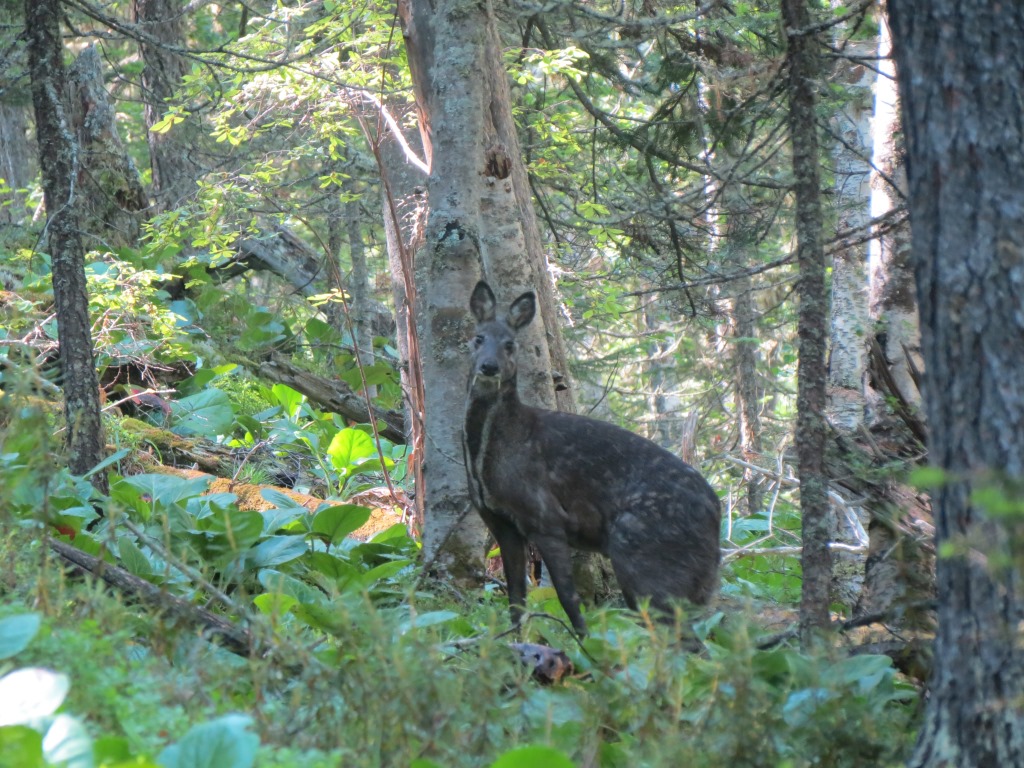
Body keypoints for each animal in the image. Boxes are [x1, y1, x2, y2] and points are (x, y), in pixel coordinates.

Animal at [464, 282, 720, 638]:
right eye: (478, 338)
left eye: (510, 344)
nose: (489, 367)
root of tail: (717, 515)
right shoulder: (500, 523)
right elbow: (516, 599)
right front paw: (515, 645)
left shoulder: (546, 517)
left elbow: (568, 598)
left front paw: (584, 643)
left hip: (644, 556)